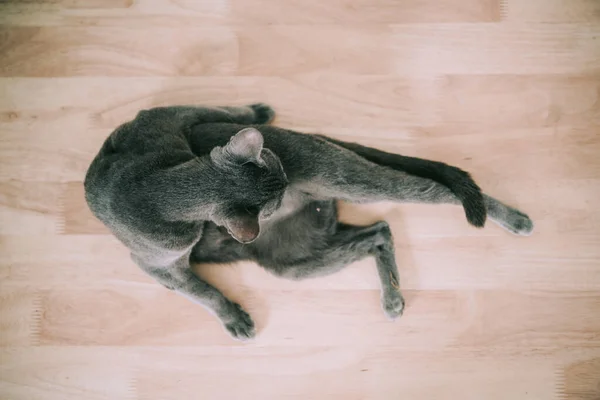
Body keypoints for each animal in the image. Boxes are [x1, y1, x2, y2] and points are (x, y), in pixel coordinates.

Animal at [84, 104, 536, 340]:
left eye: (276, 167)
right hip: (294, 262)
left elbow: (202, 292)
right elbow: (202, 291)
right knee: (379, 231)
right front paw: (234, 317)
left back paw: (514, 218)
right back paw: (392, 298)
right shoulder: (158, 265)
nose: (286, 186)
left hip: (349, 181)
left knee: (433, 191)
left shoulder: (167, 118)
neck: (152, 187)